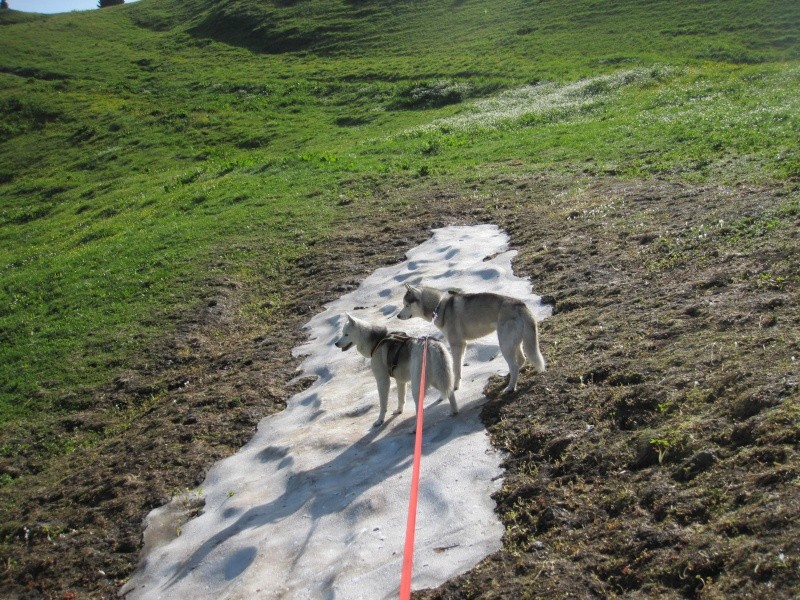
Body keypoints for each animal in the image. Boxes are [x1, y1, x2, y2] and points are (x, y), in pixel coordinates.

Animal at [396, 284, 548, 394]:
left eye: (406, 305)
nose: (397, 316)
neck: (439, 307)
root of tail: (520, 304)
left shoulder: (456, 345)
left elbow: (456, 369)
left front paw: (455, 387)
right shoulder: (463, 345)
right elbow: (459, 369)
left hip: (505, 345)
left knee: (515, 365)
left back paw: (510, 387)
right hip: (514, 343)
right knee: (521, 360)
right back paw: (508, 379)